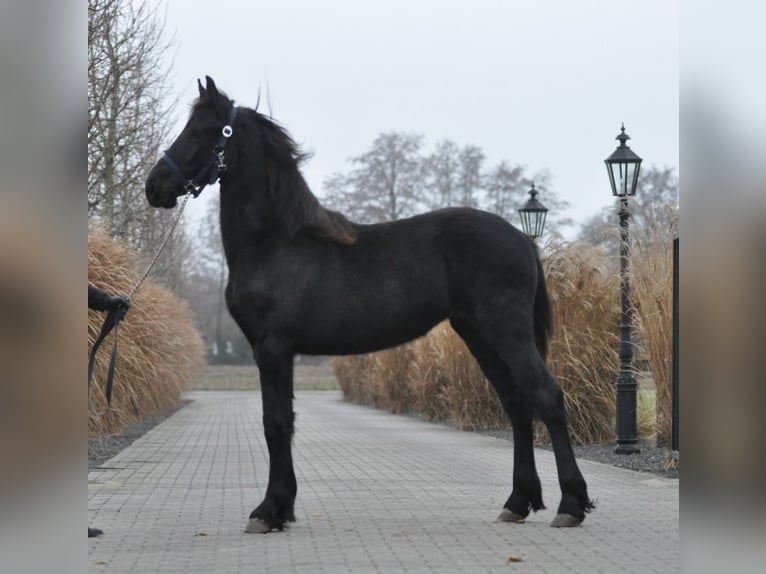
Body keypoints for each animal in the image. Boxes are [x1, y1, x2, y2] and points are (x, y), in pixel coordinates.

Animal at [147, 76, 596, 536]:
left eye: (201, 131)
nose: (154, 187)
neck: (274, 243)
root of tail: (522, 239)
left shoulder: (272, 347)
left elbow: (275, 423)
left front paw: (267, 511)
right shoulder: (276, 350)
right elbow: (283, 421)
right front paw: (282, 507)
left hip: (508, 333)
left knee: (546, 397)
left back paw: (570, 505)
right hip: (479, 335)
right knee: (517, 403)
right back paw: (518, 502)